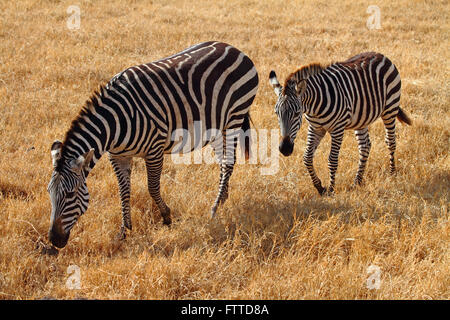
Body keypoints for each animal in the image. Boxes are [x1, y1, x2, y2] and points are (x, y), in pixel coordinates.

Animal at [47, 41, 258, 249]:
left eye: (70, 194)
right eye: (49, 193)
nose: (54, 240)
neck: (114, 124)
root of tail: (234, 48)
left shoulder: (154, 150)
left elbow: (152, 187)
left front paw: (166, 217)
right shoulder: (118, 156)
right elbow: (123, 191)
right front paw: (125, 231)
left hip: (234, 117)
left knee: (228, 163)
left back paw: (214, 209)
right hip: (216, 127)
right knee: (224, 163)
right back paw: (222, 201)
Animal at [268, 52, 414, 195]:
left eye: (297, 113)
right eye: (276, 113)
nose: (285, 149)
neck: (315, 107)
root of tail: (380, 55)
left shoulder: (337, 129)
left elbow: (332, 160)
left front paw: (331, 189)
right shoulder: (315, 128)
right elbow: (307, 157)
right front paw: (319, 187)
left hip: (390, 108)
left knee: (390, 141)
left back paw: (392, 173)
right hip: (362, 118)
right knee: (365, 147)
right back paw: (357, 182)